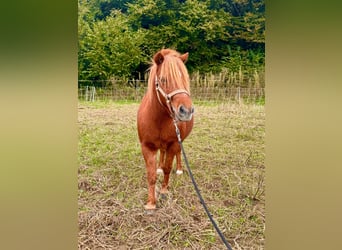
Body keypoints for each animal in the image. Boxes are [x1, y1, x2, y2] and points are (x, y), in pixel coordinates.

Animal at [137, 48, 195, 211]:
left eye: (185, 79)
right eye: (163, 80)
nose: (186, 111)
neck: (158, 119)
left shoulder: (174, 143)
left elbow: (168, 168)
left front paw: (163, 192)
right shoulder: (147, 146)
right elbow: (151, 175)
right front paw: (151, 203)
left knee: (179, 154)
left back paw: (180, 169)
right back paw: (159, 166)